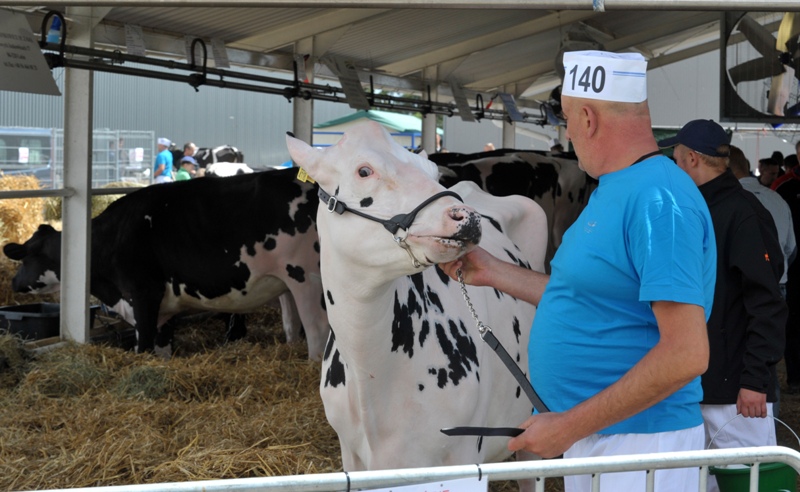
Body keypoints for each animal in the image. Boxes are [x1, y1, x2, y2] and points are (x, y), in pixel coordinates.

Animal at [3, 167, 329, 360]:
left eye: (26, 257)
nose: (14, 282)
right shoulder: (165, 305)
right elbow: (162, 347)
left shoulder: (143, 294)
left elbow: (143, 345)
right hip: (287, 285)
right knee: (293, 327)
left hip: (307, 279)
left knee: (317, 332)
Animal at [286, 121, 547, 476]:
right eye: (364, 171)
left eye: (432, 171)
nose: (467, 217)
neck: (371, 374)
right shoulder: (350, 455)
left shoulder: (464, 453)